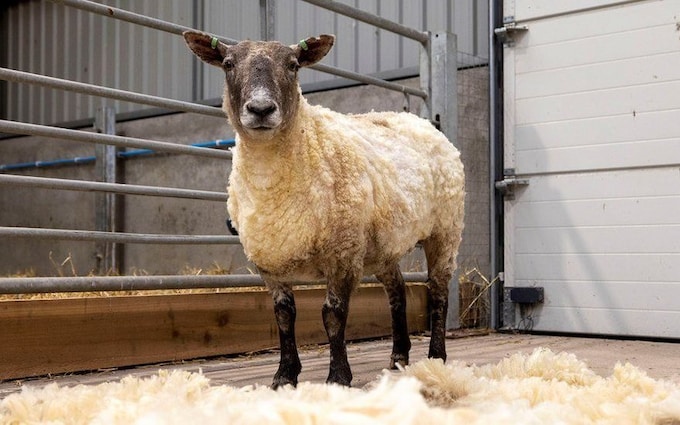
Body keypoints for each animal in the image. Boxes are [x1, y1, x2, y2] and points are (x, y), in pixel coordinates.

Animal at [183, 29, 464, 388]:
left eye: (293, 65)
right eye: (228, 64)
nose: (260, 109)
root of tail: (419, 120)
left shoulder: (342, 252)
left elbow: (333, 314)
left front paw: (338, 376)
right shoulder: (269, 261)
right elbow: (284, 316)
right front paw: (284, 375)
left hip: (445, 229)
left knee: (439, 292)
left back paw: (436, 356)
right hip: (381, 244)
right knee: (398, 292)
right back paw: (398, 357)